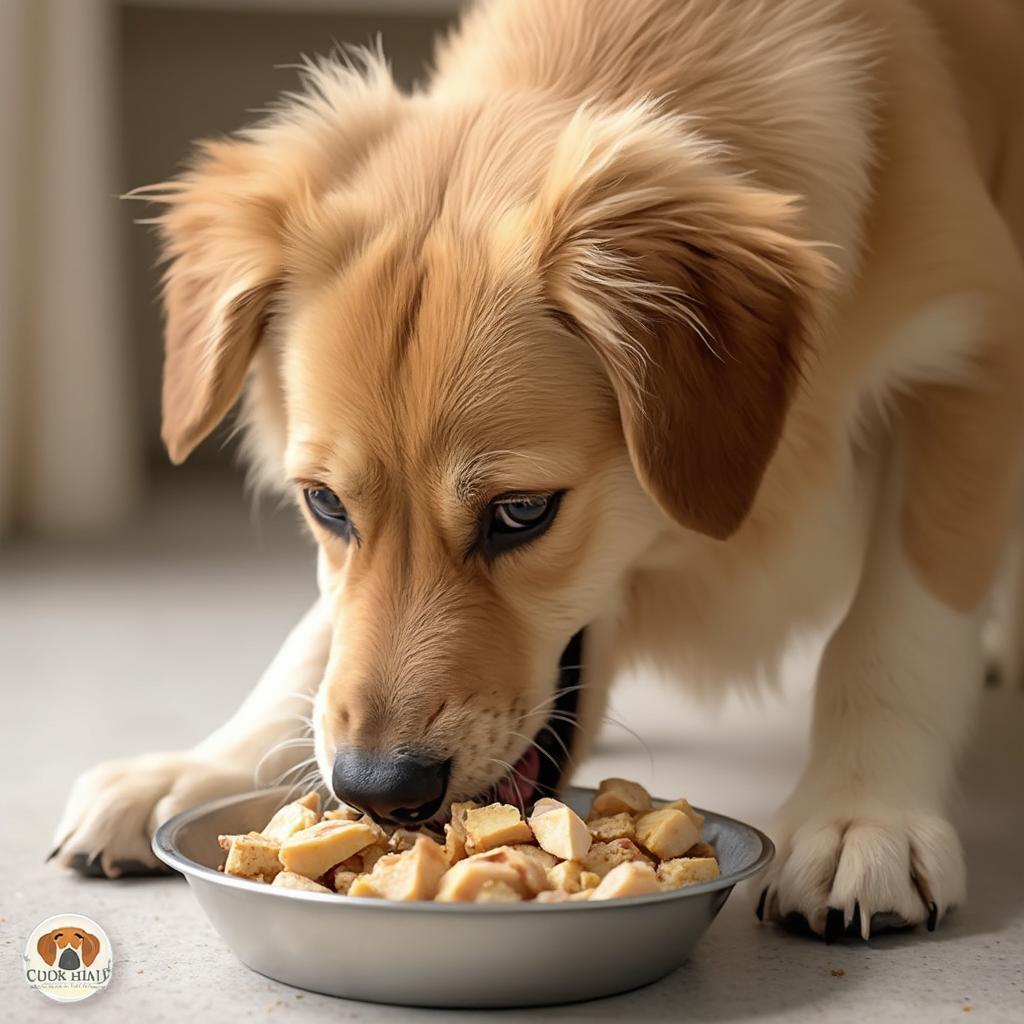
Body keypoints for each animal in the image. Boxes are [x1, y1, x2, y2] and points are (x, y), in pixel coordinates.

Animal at [49, 0, 1024, 937]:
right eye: (324, 504)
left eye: (521, 513)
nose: (378, 792)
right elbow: (319, 637)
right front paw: (197, 769)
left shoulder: (973, 353)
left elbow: (898, 626)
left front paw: (865, 814)